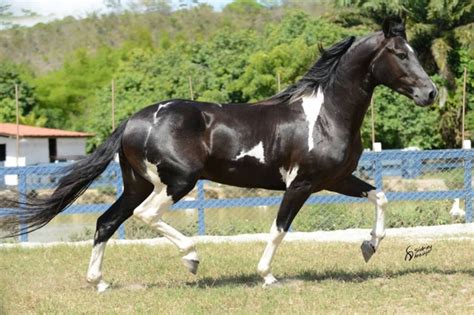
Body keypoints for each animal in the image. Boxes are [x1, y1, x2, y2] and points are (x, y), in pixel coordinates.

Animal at [0, 17, 436, 292]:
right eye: (400, 54)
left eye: (413, 51)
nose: (430, 93)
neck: (326, 114)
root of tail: (133, 120)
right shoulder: (302, 184)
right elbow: (279, 229)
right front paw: (266, 276)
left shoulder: (336, 179)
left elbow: (381, 196)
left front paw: (369, 247)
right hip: (176, 181)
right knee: (146, 216)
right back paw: (191, 258)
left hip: (137, 183)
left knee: (106, 222)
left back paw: (100, 283)